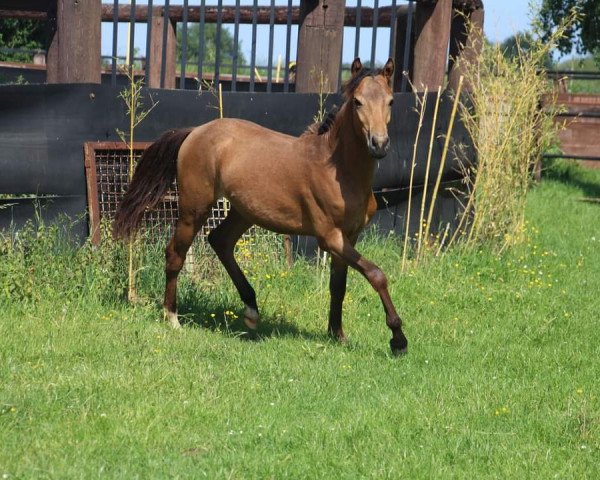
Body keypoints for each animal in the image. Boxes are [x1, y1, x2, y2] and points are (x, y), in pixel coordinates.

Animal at [113, 58, 408, 354]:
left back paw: (251, 310)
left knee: (220, 241)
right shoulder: (330, 237)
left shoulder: (349, 236)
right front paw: (398, 338)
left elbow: (339, 286)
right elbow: (376, 274)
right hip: (194, 209)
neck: (335, 169)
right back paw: (172, 317)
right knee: (175, 253)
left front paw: (337, 335)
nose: (379, 144)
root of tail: (194, 132)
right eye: (358, 102)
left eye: (391, 101)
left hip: (244, 212)